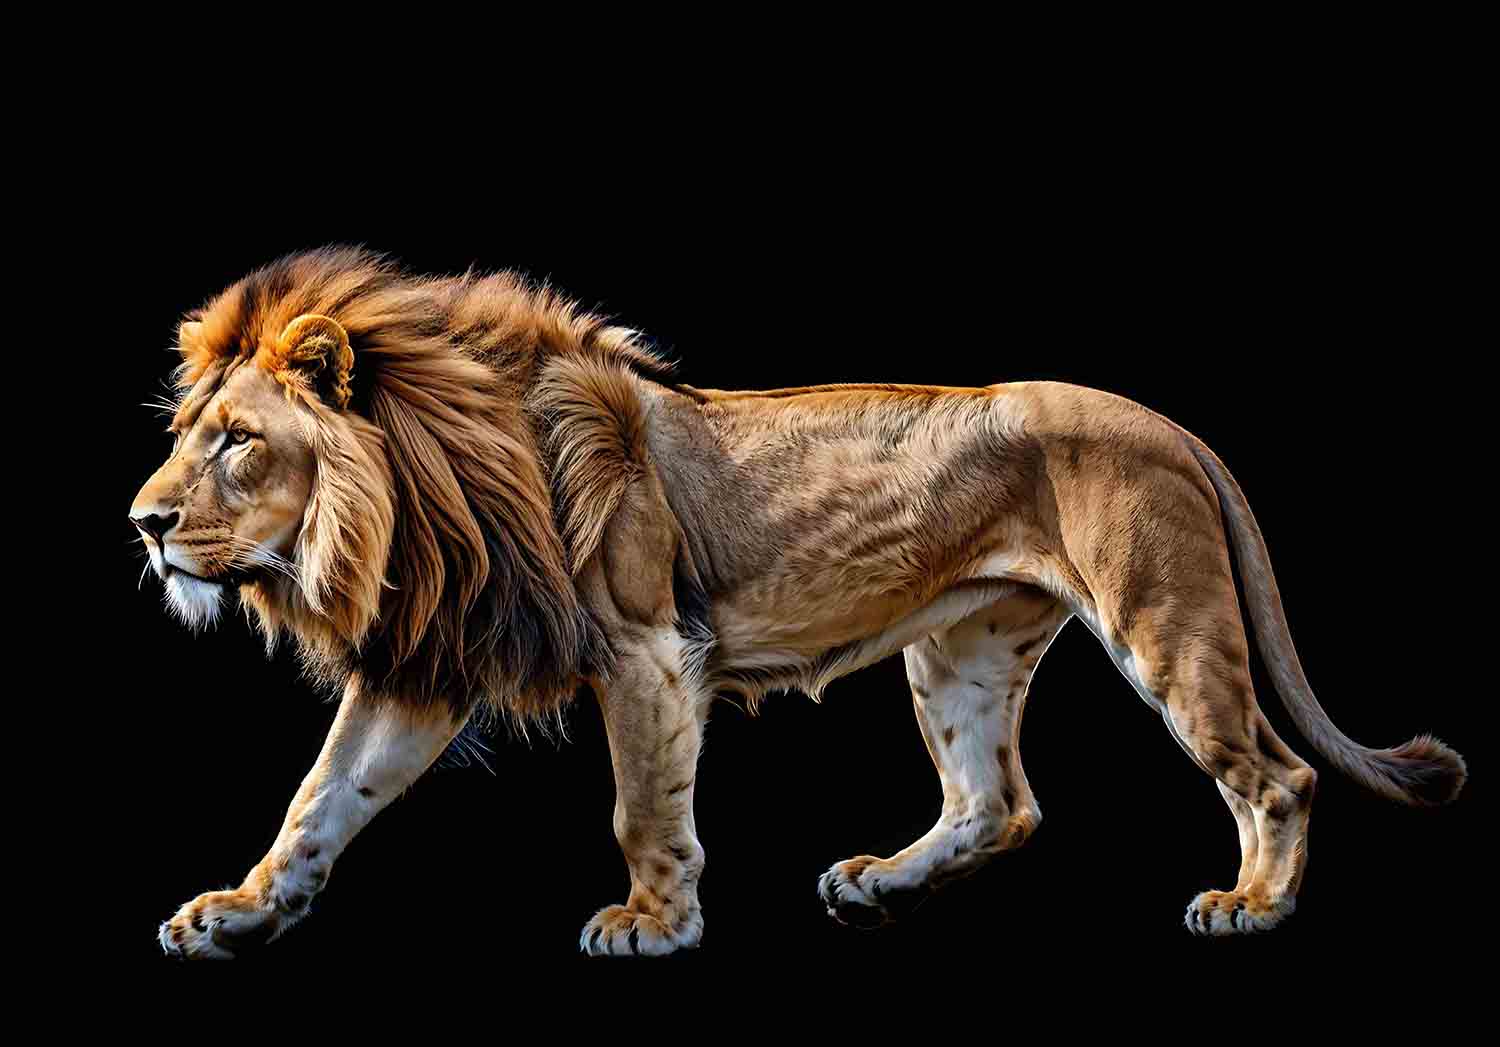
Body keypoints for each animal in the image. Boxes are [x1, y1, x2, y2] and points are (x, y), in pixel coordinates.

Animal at [133, 247, 1466, 958]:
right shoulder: (428, 663)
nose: (142, 525)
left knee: (1276, 775)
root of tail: (1175, 426)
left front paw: (653, 924)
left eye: (239, 442)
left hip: (1163, 618)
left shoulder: (647, 647)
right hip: (964, 651)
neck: (427, 491)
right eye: (191, 432)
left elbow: (641, 808)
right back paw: (878, 884)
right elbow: (321, 799)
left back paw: (1251, 904)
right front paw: (239, 913)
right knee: (999, 803)